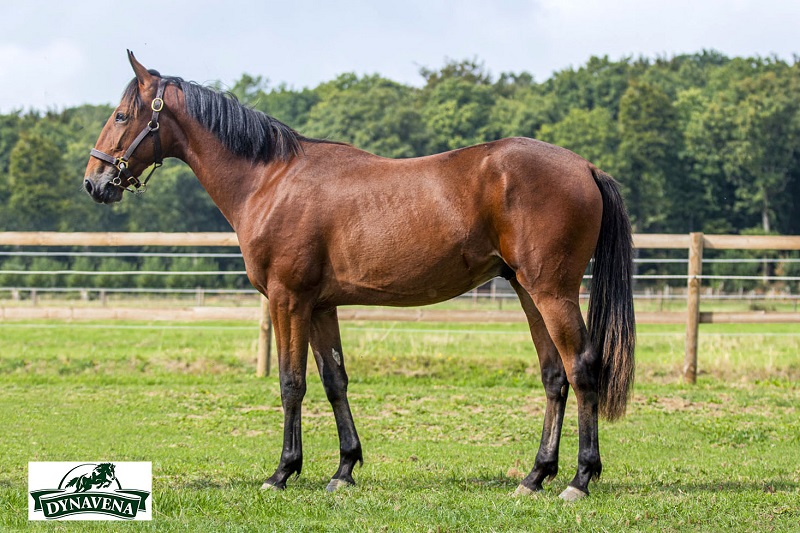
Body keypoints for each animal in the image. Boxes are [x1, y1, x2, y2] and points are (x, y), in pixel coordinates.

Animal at [84, 51, 635, 501]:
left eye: (122, 115)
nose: (94, 181)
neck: (271, 179)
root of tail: (585, 167)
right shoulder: (320, 305)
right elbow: (335, 381)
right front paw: (344, 469)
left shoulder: (287, 299)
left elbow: (291, 383)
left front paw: (283, 472)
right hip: (527, 291)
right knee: (554, 377)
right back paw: (535, 476)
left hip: (552, 292)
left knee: (582, 369)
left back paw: (579, 479)